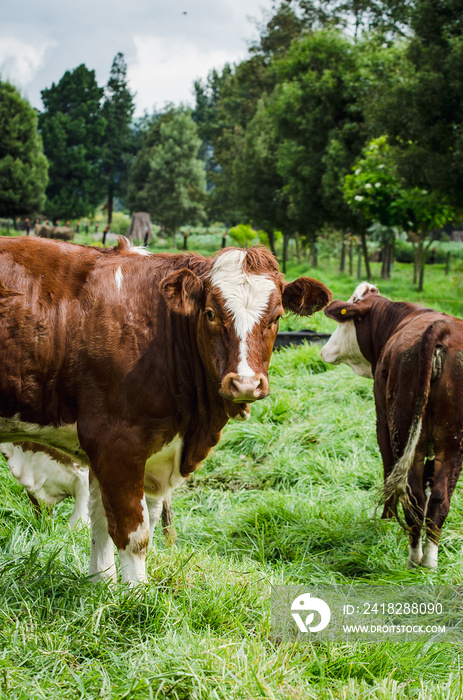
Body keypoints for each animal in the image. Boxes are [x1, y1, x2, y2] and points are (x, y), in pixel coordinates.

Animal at [0, 237, 334, 584]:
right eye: (211, 313)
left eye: (276, 317)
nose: (245, 383)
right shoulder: (114, 441)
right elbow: (132, 535)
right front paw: (135, 594)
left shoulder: (101, 451)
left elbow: (100, 522)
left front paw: (101, 585)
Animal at [320, 284, 463, 568]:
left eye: (344, 321)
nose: (324, 350)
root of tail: (443, 329)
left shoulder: (381, 419)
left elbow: (388, 469)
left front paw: (385, 519)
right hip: (453, 442)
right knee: (439, 496)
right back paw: (430, 561)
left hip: (403, 430)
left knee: (414, 492)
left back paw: (413, 559)